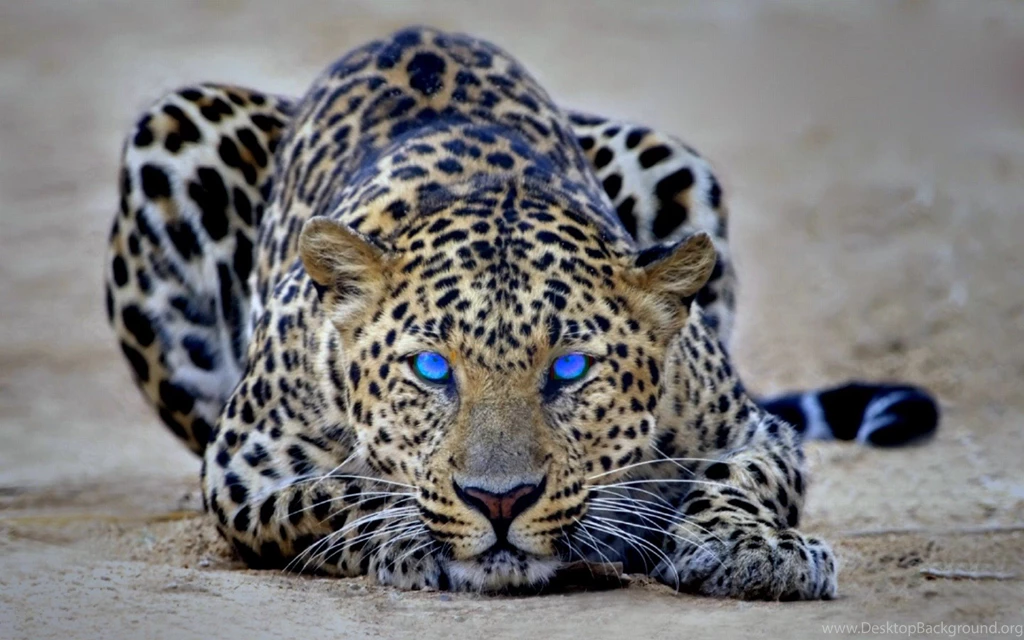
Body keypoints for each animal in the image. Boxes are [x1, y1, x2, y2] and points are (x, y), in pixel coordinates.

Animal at [104, 26, 939, 598]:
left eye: (568, 369)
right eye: (431, 368)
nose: (499, 501)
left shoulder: (750, 429)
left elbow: (739, 476)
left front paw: (755, 550)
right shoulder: (243, 465)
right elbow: (340, 492)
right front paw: (410, 535)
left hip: (669, 156)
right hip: (172, 132)